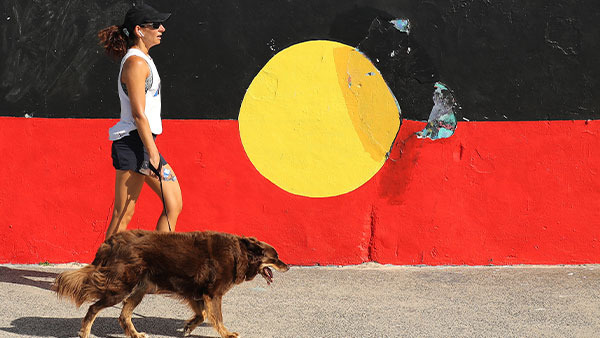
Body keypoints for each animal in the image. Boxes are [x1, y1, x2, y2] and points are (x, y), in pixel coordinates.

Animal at [55, 230, 290, 338]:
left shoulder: (196, 293)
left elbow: (202, 314)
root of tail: (111, 241)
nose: (287, 266)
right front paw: (226, 333)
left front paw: (188, 327)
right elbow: (217, 317)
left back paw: (135, 334)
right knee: (93, 308)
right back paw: (85, 332)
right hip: (121, 287)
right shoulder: (213, 294)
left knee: (123, 315)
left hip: (139, 289)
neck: (239, 254)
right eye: (276, 257)